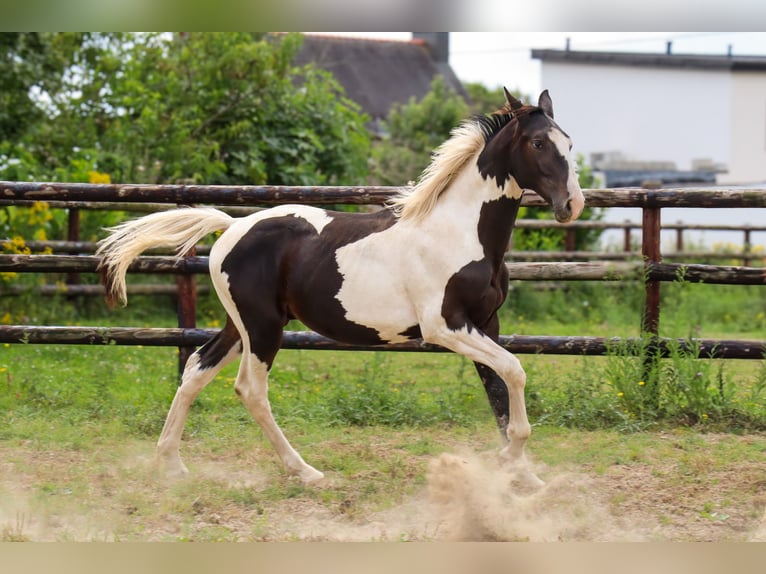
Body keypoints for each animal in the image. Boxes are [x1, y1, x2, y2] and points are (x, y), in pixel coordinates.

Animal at [97, 89, 588, 486]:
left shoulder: (487, 322)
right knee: (251, 390)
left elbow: (499, 392)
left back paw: (171, 464)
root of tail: (232, 225)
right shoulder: (445, 326)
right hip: (263, 328)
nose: (572, 205)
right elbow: (515, 373)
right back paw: (305, 472)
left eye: (569, 141)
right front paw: (514, 461)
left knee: (197, 368)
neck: (458, 231)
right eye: (538, 143)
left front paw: (521, 474)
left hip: (242, 325)